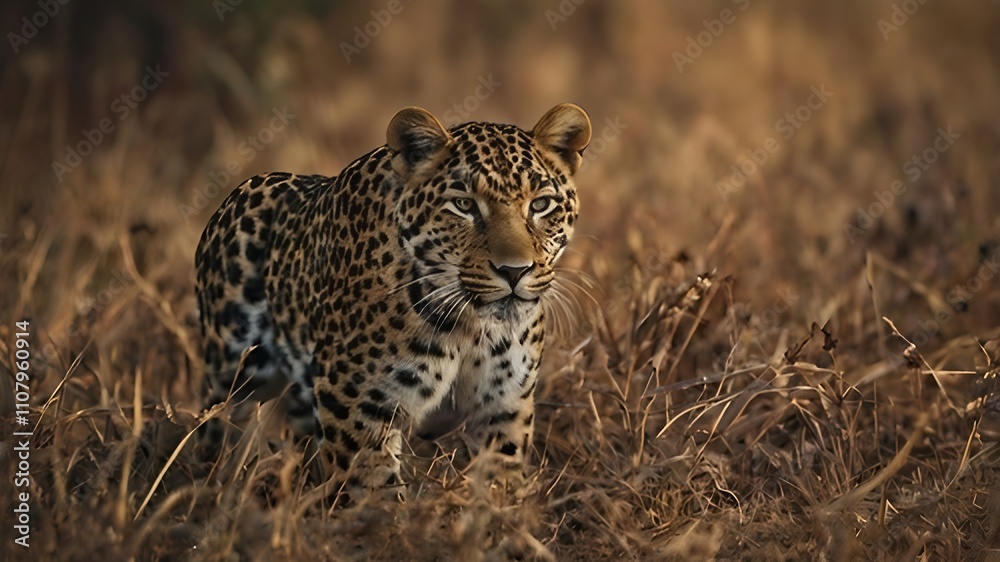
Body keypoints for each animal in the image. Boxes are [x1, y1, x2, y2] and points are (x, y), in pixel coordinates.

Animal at [194, 103, 591, 491]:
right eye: (464, 205)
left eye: (540, 205)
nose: (514, 271)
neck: (473, 327)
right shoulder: (357, 403)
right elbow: (372, 491)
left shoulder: (504, 404)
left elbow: (498, 485)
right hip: (233, 372)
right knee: (218, 429)